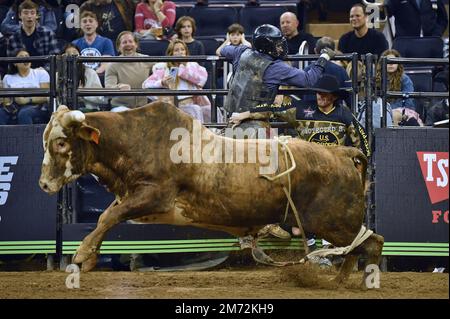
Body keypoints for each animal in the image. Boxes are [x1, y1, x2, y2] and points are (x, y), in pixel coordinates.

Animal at [37, 102, 384, 284]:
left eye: (62, 143)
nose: (43, 184)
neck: (138, 140)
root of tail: (342, 154)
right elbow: (107, 217)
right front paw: (90, 257)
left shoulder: (153, 196)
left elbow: (108, 217)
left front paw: (82, 256)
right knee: (360, 246)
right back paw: (340, 282)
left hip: (334, 221)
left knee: (371, 242)